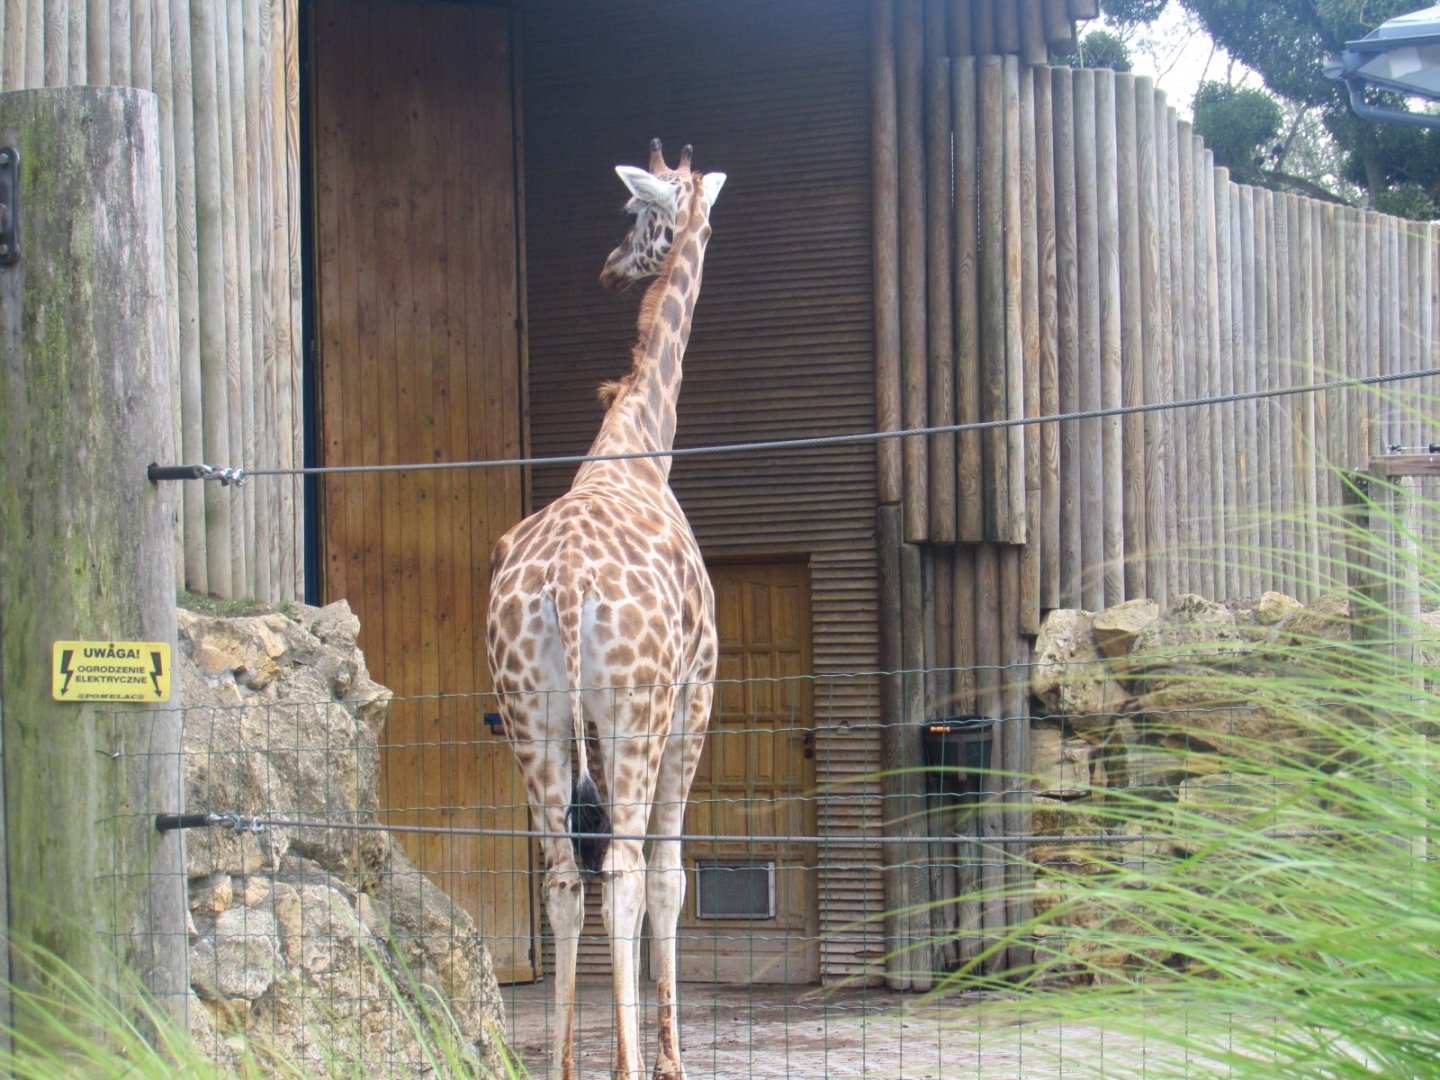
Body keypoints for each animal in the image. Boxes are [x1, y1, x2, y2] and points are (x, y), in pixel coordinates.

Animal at [486, 138, 725, 1080]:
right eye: (638, 211)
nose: (611, 267)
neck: (641, 447)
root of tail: (564, 585)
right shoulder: (697, 692)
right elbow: (670, 876)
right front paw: (666, 1059)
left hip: (530, 710)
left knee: (559, 872)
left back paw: (558, 1065)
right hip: (637, 708)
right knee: (622, 868)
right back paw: (627, 1064)